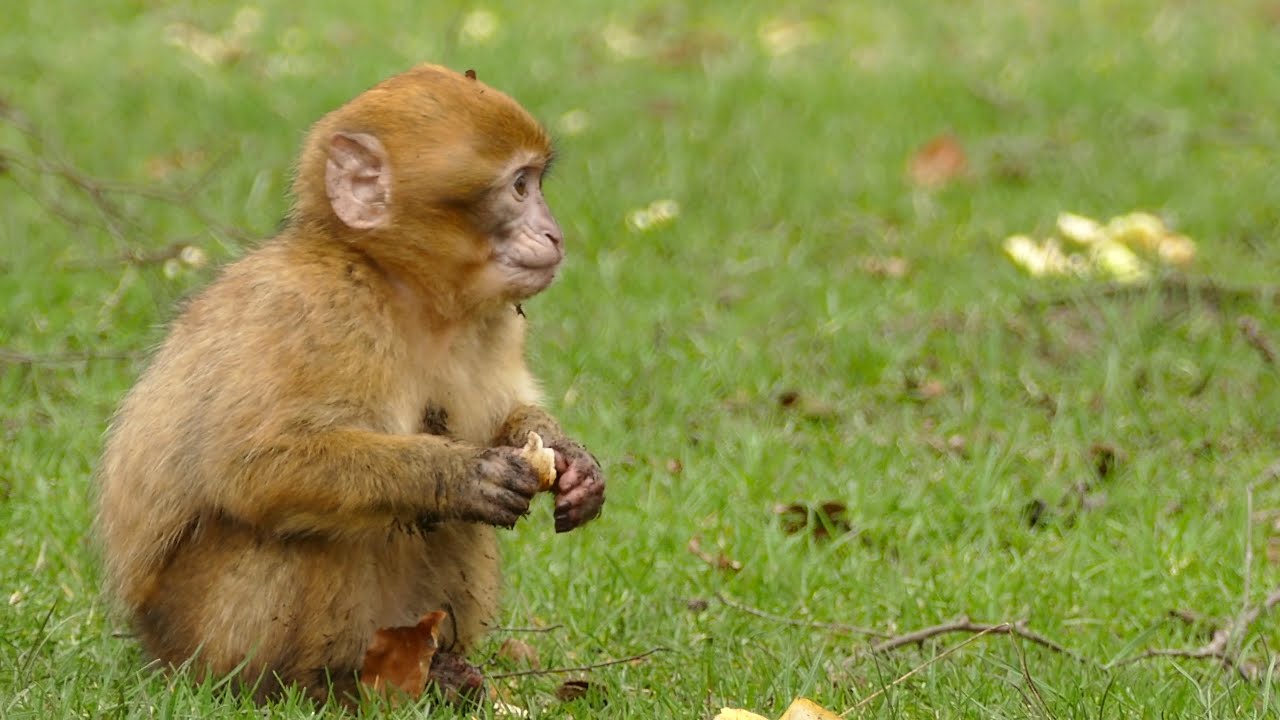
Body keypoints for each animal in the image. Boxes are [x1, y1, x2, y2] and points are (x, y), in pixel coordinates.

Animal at [95, 64, 605, 704]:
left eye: (536, 181)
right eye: (518, 186)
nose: (554, 233)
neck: (398, 286)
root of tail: (153, 650)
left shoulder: (492, 323)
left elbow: (503, 416)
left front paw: (567, 457)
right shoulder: (317, 313)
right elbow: (254, 465)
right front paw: (460, 474)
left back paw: (437, 669)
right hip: (197, 637)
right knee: (296, 531)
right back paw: (312, 687)